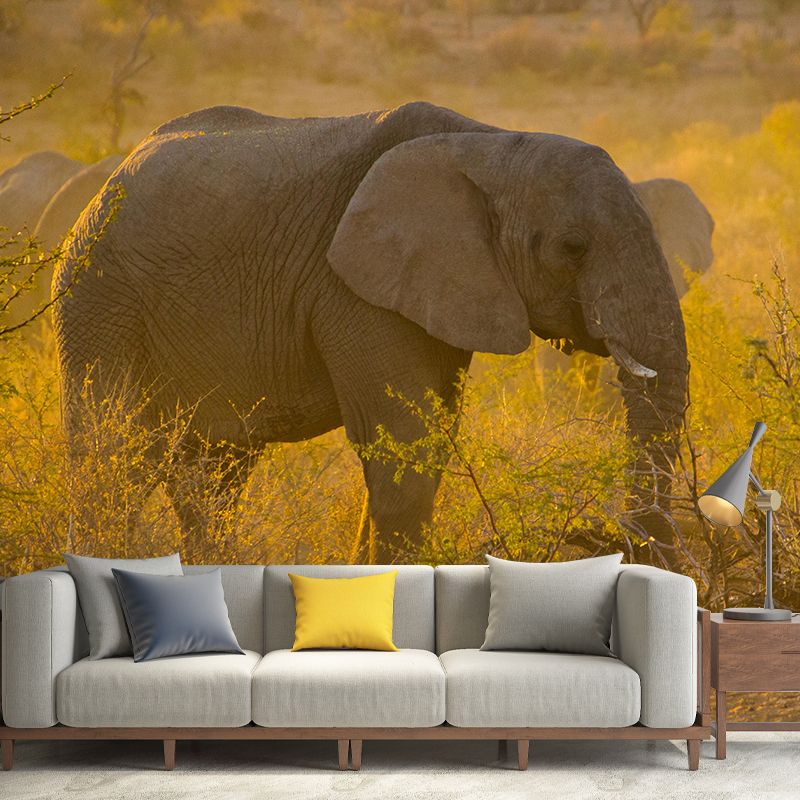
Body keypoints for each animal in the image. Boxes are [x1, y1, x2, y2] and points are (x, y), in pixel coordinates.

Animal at [54, 102, 689, 563]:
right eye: (573, 247)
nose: (607, 538)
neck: (491, 144)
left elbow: (427, 441)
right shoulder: (353, 288)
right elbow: (406, 443)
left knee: (211, 478)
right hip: (98, 302)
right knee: (112, 462)